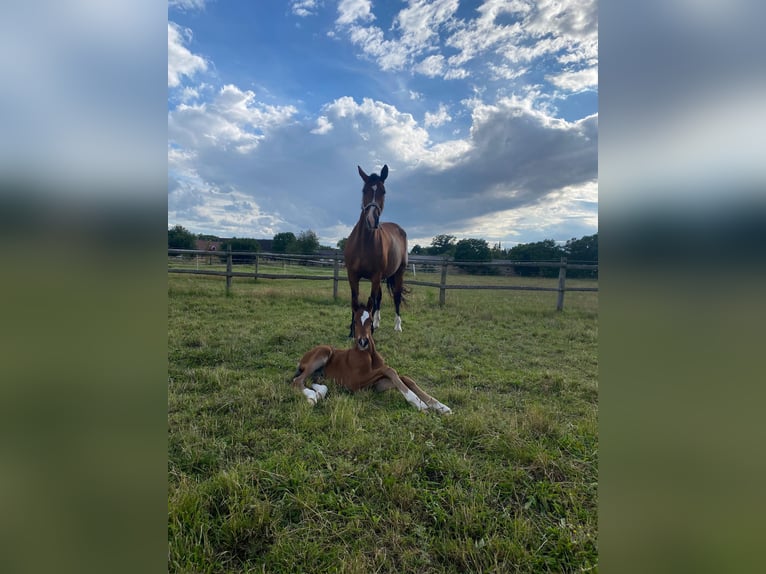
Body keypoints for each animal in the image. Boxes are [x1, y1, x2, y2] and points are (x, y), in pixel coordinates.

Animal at [292, 304, 450, 416]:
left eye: (370, 321)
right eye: (355, 321)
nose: (363, 342)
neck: (370, 355)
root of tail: (304, 357)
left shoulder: (376, 386)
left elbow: (405, 378)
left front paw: (440, 406)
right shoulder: (355, 382)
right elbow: (389, 370)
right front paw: (418, 403)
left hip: (320, 373)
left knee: (315, 382)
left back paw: (319, 393)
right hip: (324, 351)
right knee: (297, 380)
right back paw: (312, 397)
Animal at [344, 163, 412, 338]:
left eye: (383, 191)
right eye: (364, 190)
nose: (371, 219)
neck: (364, 244)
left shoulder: (375, 276)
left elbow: (371, 300)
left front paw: (369, 331)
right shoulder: (352, 275)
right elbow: (355, 300)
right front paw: (352, 330)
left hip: (398, 272)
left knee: (395, 297)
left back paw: (397, 325)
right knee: (379, 298)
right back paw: (376, 322)